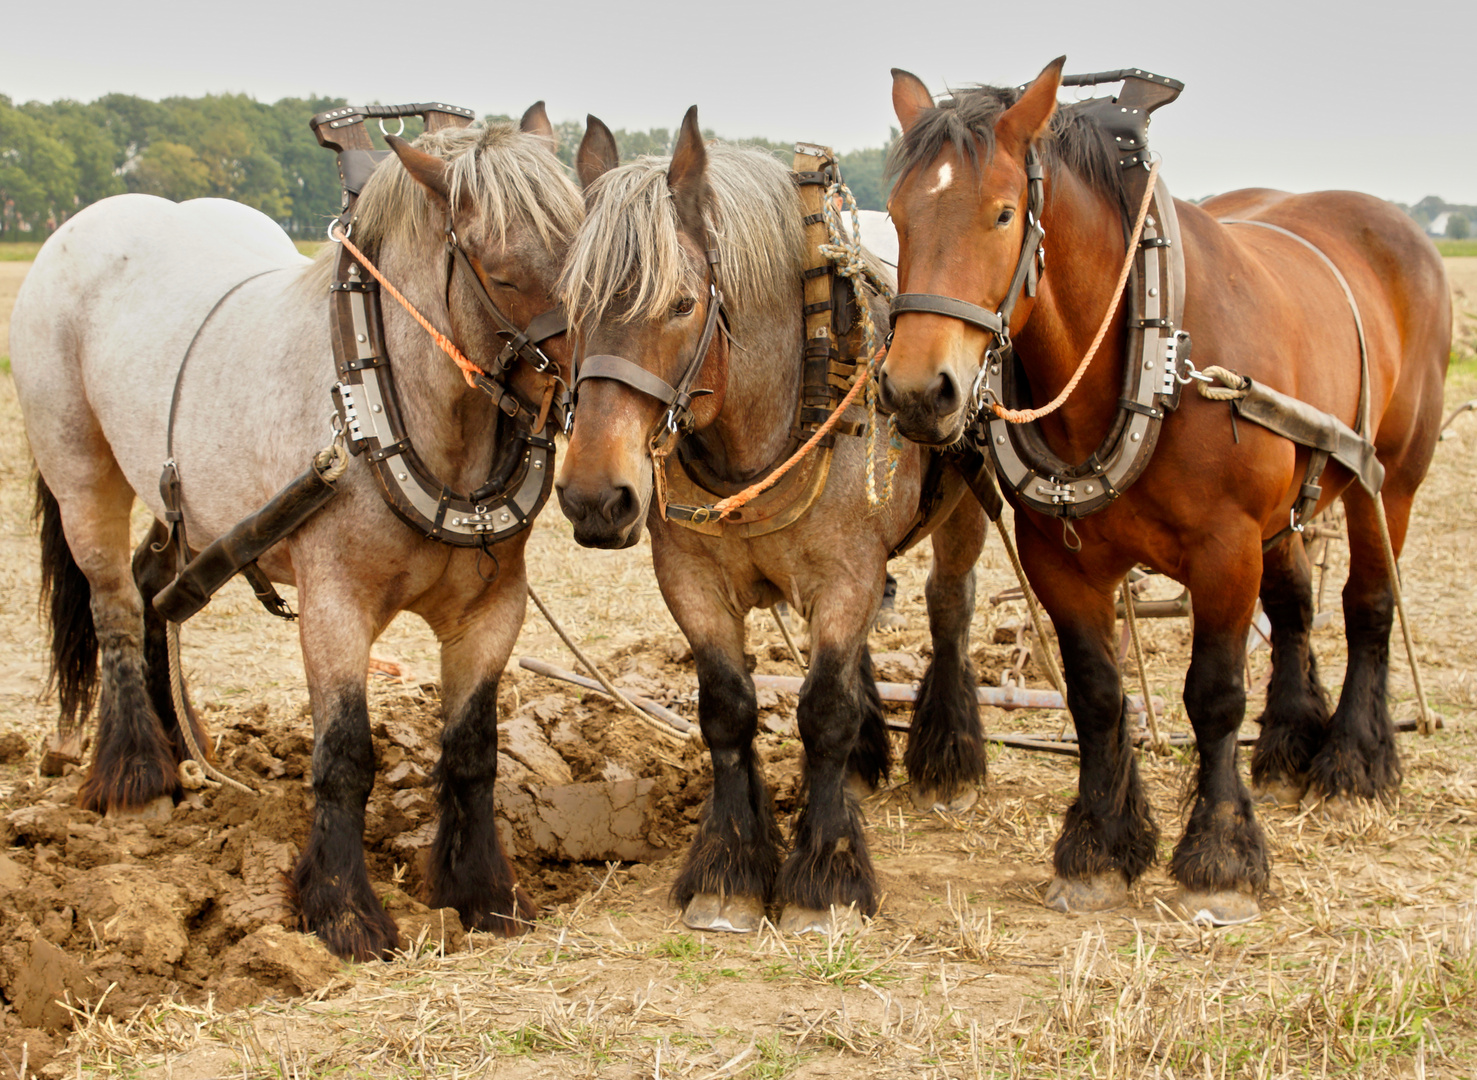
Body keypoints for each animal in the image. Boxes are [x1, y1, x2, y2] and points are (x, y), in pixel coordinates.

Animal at [14, 105, 587, 957]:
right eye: (502, 268)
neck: (384, 407)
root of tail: (84, 225)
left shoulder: (490, 611)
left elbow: (471, 752)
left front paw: (483, 893)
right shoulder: (334, 607)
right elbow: (345, 755)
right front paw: (343, 913)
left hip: (192, 510)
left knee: (155, 592)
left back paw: (183, 745)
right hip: (81, 469)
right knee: (113, 604)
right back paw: (137, 775)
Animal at [555, 110, 992, 933]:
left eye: (681, 304)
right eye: (569, 308)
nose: (595, 498)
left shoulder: (847, 573)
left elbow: (822, 711)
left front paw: (825, 876)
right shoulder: (690, 580)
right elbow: (727, 711)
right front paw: (727, 869)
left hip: (964, 508)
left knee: (948, 605)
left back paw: (948, 761)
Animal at [874, 56, 1453, 921]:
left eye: (1003, 213)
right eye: (898, 215)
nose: (918, 392)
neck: (1149, 352)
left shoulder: (1225, 550)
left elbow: (1212, 695)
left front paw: (1220, 858)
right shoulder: (1060, 561)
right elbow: (1095, 694)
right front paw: (1096, 847)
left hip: (1389, 478)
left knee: (1368, 606)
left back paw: (1352, 763)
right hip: (1290, 505)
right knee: (1294, 608)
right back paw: (1285, 747)